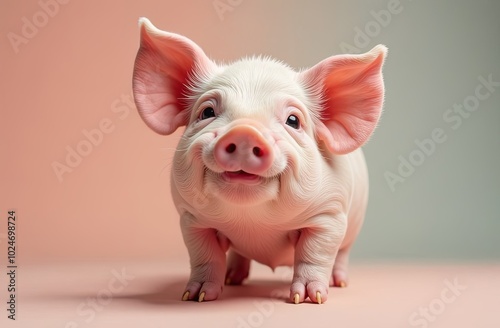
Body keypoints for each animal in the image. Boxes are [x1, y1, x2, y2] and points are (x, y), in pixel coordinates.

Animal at [132, 17, 386, 304]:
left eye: (293, 121)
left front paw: (309, 298)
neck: (252, 224)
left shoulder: (330, 215)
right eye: (207, 112)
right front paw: (195, 296)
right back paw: (233, 279)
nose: (245, 131)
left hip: (353, 227)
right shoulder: (191, 219)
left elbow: (315, 255)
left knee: (341, 254)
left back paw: (340, 282)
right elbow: (204, 256)